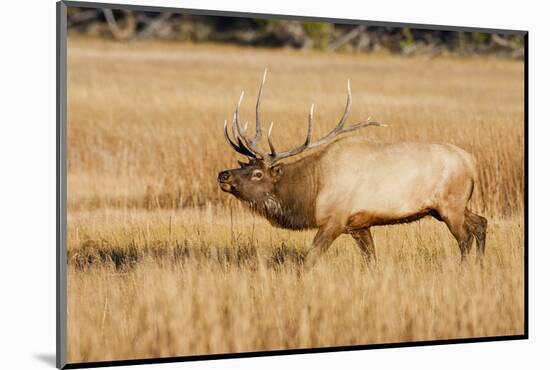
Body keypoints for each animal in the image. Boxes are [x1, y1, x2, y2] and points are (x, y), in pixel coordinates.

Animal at [218, 70, 490, 268]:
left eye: (258, 174)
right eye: (244, 164)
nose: (223, 175)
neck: (311, 192)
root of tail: (472, 162)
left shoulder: (335, 220)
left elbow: (308, 260)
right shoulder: (359, 225)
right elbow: (371, 261)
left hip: (450, 205)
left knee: (464, 237)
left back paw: (464, 269)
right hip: (447, 207)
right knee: (481, 222)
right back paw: (480, 265)